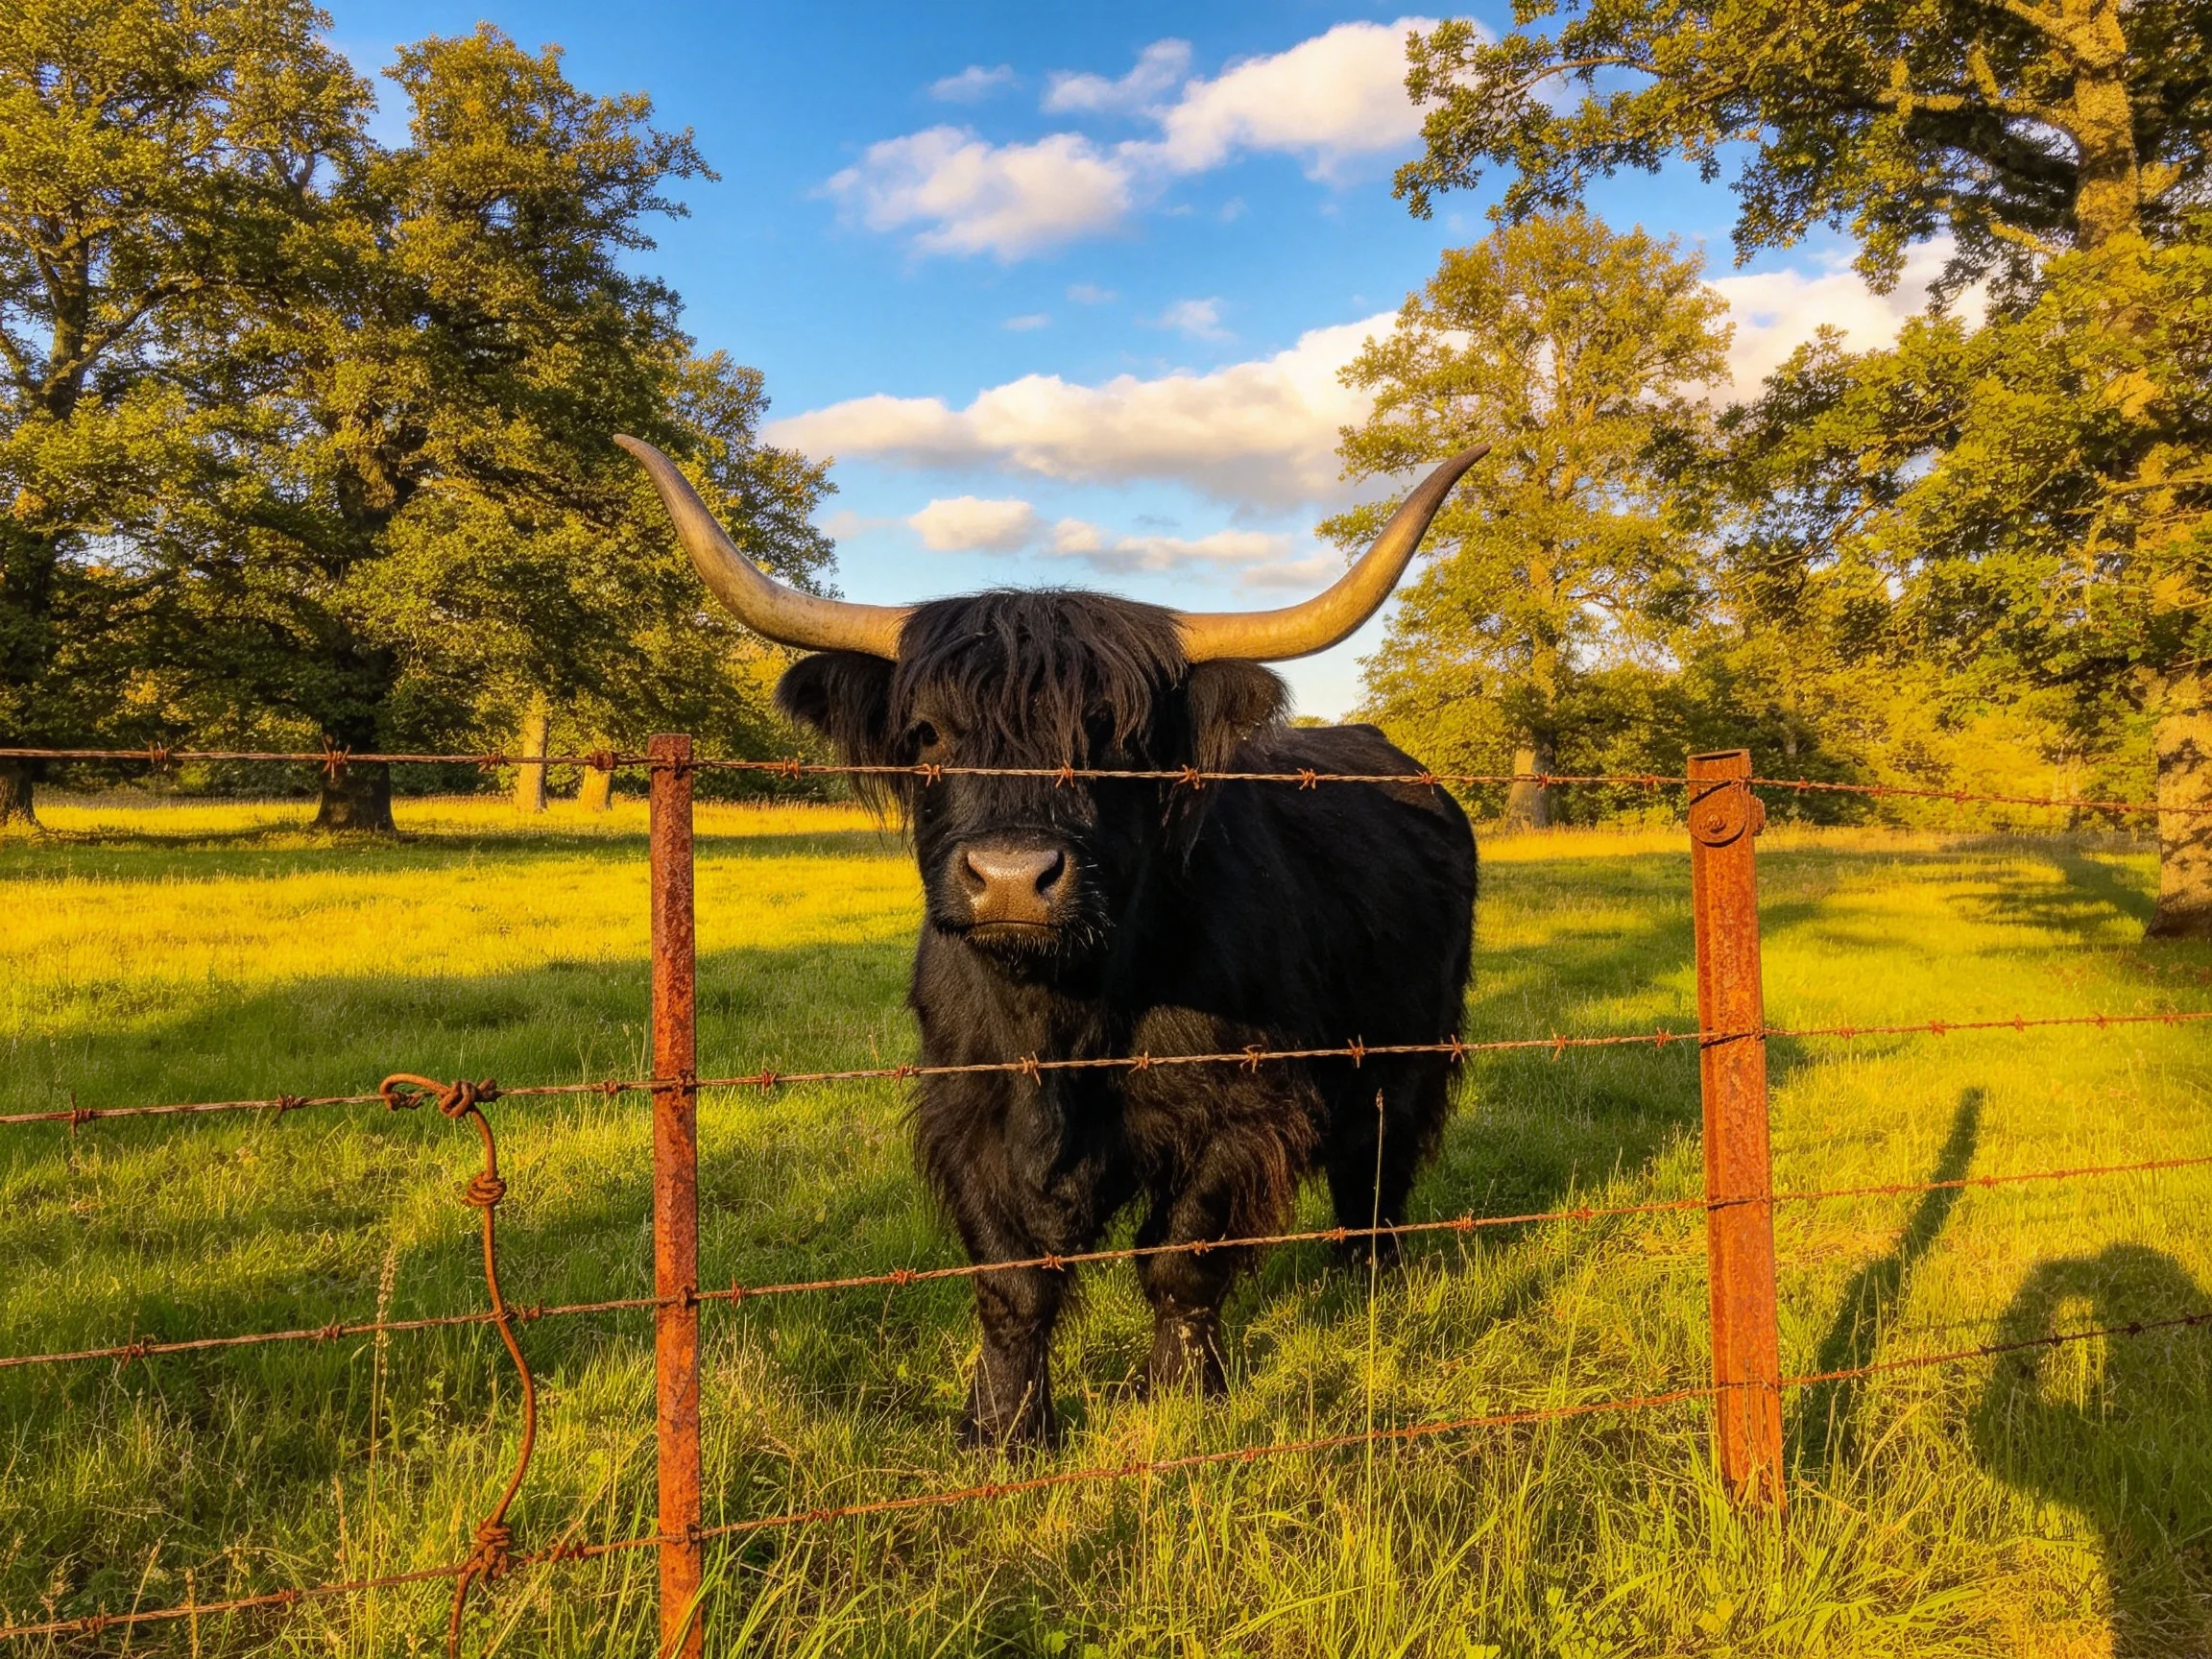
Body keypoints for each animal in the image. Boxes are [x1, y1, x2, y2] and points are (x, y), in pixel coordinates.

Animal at [621, 435, 1485, 1448]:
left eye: (1118, 740)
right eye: (929, 735)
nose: (1010, 877)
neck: (1061, 1020)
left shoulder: (1241, 1110)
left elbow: (1182, 1257)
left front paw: (1181, 1398)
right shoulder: (967, 1111)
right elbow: (1012, 1282)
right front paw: (1001, 1427)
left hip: (1409, 1051)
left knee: (1376, 1167)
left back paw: (1368, 1285)